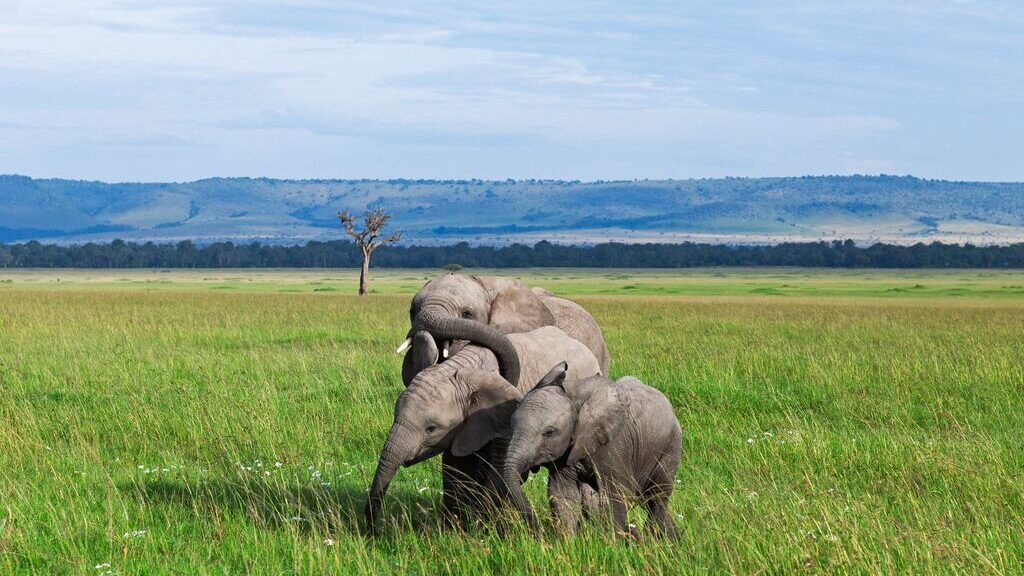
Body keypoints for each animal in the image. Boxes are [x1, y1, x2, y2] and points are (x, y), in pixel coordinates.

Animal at [365, 326, 602, 531]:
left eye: (431, 429)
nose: (376, 531)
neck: (462, 366)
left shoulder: (506, 417)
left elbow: (497, 470)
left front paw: (484, 531)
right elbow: (457, 470)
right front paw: (454, 530)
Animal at [502, 363, 682, 538]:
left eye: (549, 433)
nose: (539, 533)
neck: (573, 397)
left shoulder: (614, 444)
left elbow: (614, 495)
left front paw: (613, 543)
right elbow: (563, 494)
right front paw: (568, 543)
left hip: (671, 446)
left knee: (657, 496)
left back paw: (655, 539)